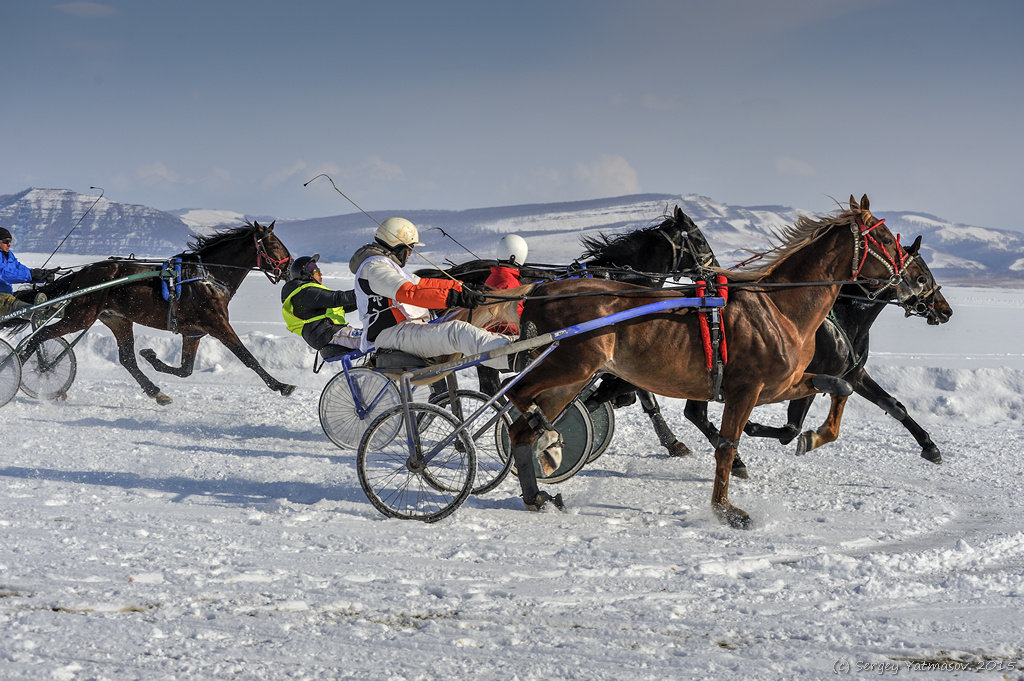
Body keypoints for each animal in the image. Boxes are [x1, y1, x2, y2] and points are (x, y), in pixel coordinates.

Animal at [3, 222, 292, 403]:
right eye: (275, 245)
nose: (290, 269)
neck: (208, 275)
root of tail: (83, 273)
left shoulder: (193, 333)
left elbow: (185, 370)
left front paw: (151, 356)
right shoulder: (218, 325)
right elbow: (248, 357)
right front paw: (281, 385)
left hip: (117, 320)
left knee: (127, 359)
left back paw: (156, 391)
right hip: (80, 316)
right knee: (39, 337)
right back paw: (19, 369)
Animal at [503, 193, 921, 528]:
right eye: (886, 240)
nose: (915, 281)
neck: (779, 308)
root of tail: (541, 290)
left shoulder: (782, 383)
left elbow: (840, 387)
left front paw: (814, 435)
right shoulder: (745, 389)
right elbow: (727, 445)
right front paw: (725, 509)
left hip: (570, 379)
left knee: (522, 428)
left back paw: (537, 488)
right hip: (568, 365)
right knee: (517, 397)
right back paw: (547, 438)